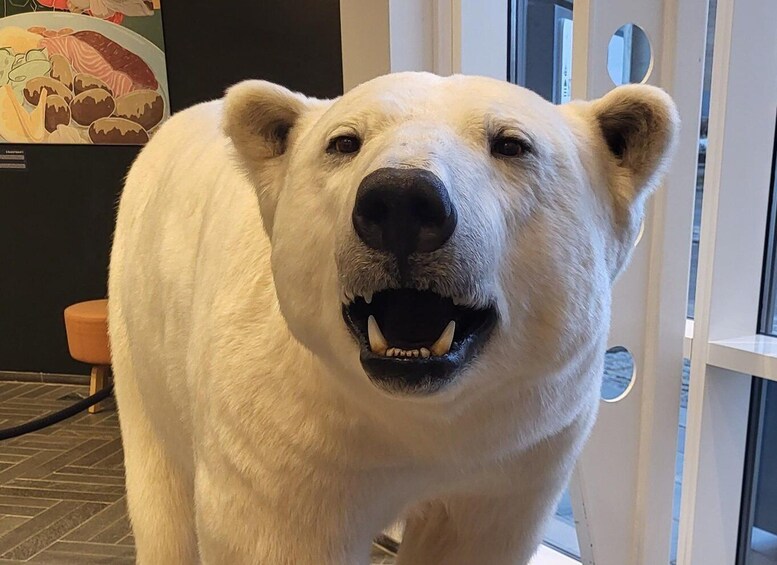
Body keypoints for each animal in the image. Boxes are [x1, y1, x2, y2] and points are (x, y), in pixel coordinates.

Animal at [108, 72, 678, 564]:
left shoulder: (516, 452)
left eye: (512, 144)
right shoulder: (283, 436)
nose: (402, 201)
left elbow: (469, 537)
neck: (410, 418)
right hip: (135, 329)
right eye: (344, 142)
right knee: (162, 504)